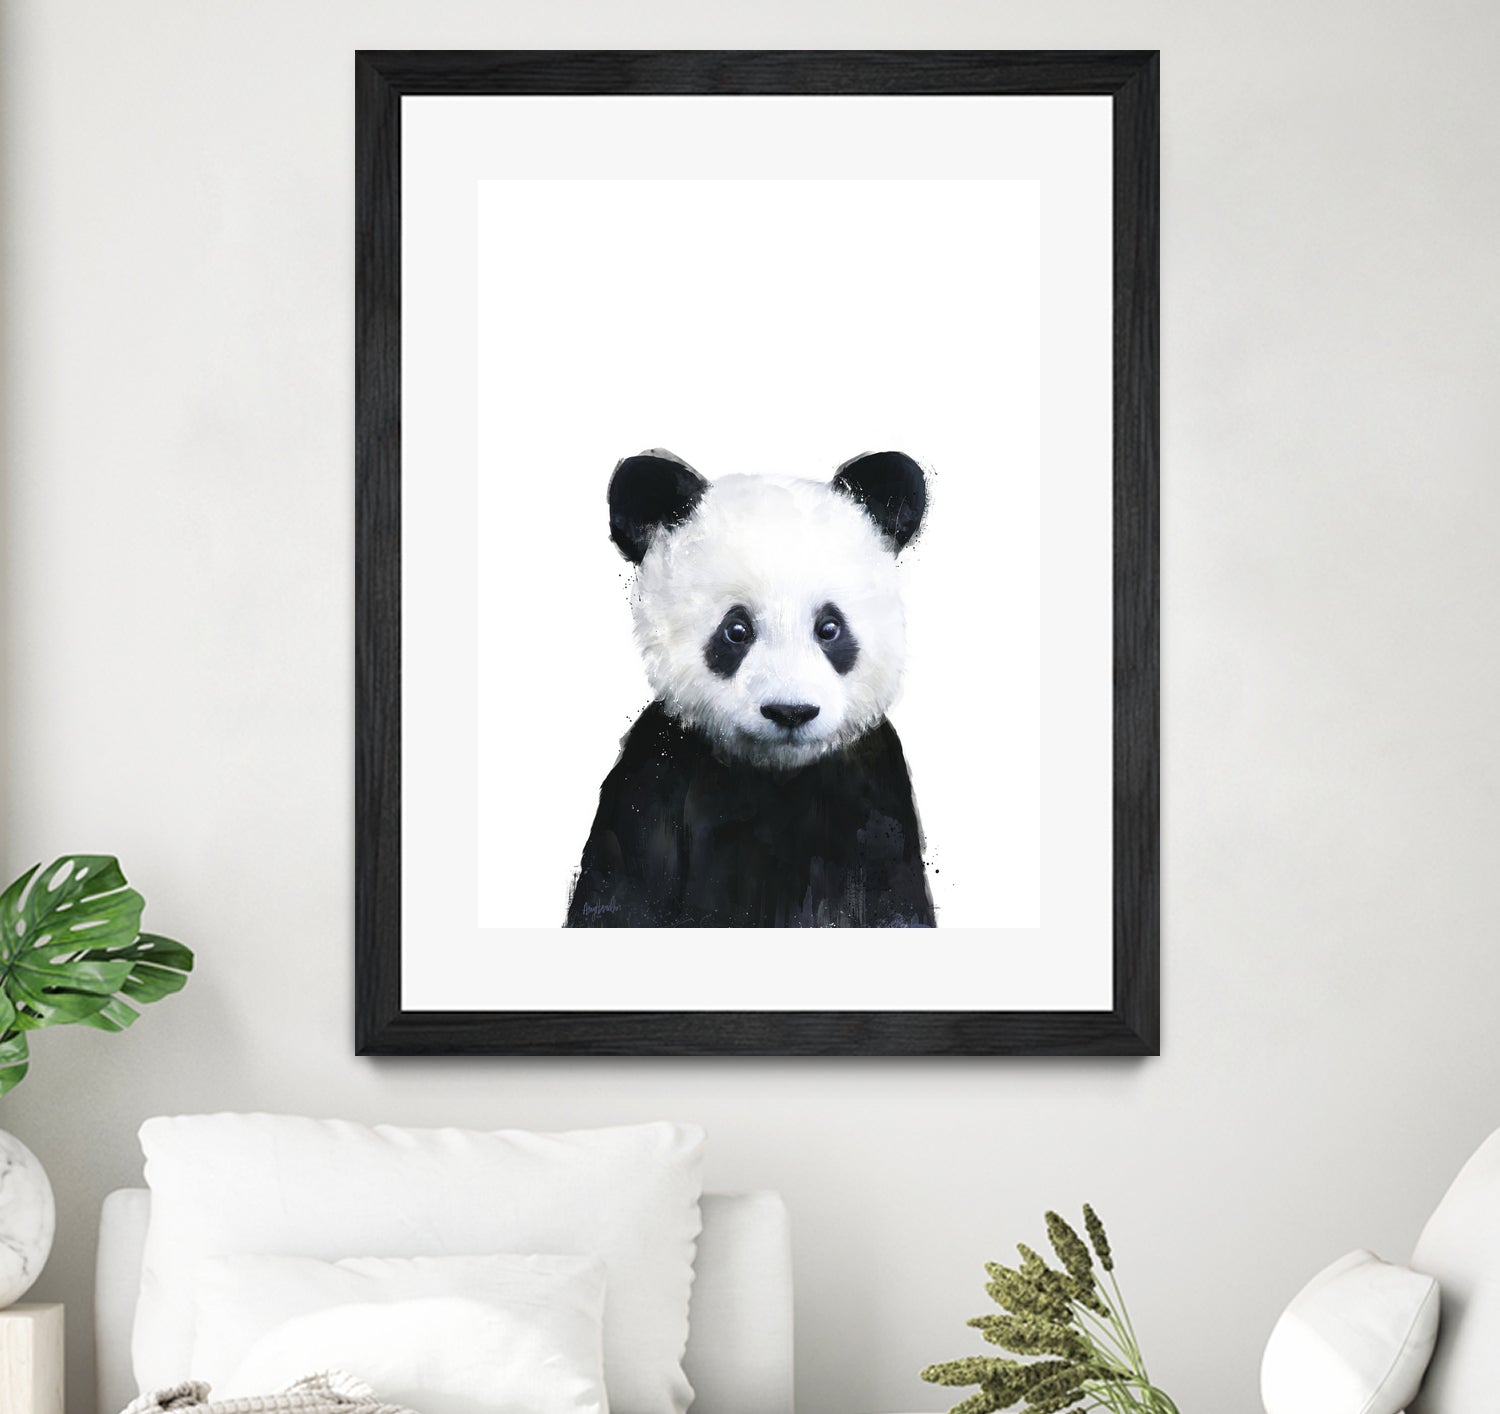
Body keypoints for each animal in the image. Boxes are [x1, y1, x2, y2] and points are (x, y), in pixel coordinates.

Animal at [565, 448, 935, 929]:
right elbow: (621, 892)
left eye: (829, 628)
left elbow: (894, 901)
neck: (774, 773)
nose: (790, 712)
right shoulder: (654, 778)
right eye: (736, 630)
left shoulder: (873, 792)